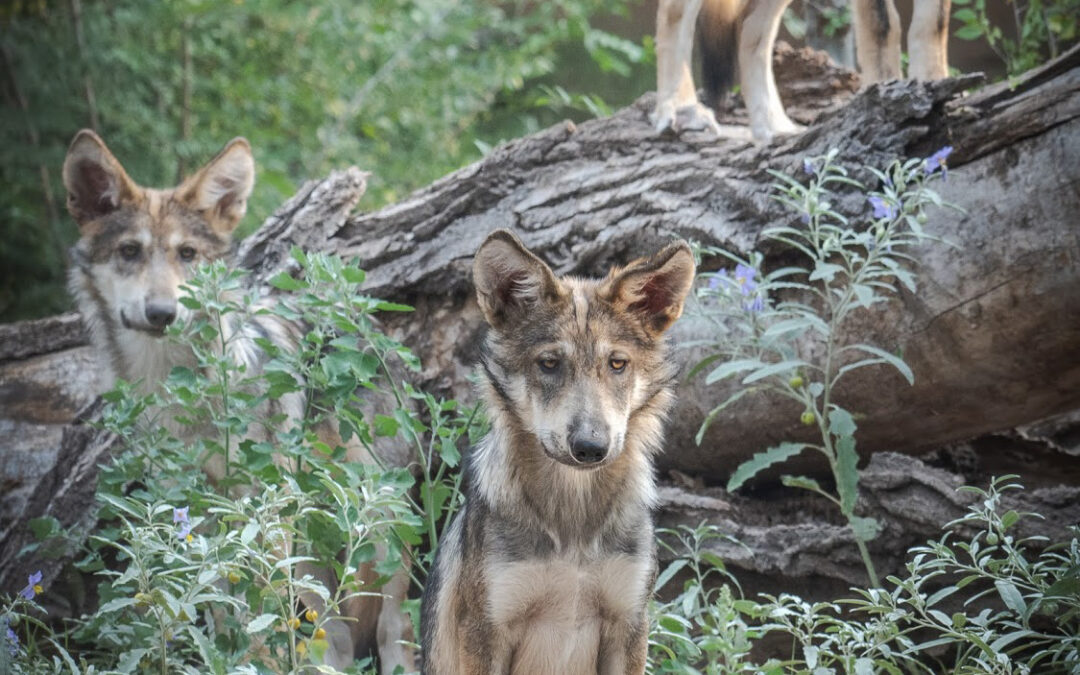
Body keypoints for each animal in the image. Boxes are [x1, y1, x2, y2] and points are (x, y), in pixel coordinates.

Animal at [62, 129, 414, 674]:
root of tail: (369, 324)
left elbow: (258, 612)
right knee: (332, 636)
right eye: (129, 251)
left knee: (394, 626)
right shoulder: (195, 513)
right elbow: (223, 608)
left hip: (374, 530)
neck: (174, 385)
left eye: (187, 253)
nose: (161, 312)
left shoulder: (263, 512)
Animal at [420, 230, 696, 674]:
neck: (573, 521)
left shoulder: (629, 626)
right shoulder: (485, 632)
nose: (590, 447)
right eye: (549, 363)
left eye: (617, 364)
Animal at [653, 0, 951, 141]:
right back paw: (683, 107)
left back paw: (773, 126)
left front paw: (935, 91)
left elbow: (932, 25)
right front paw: (889, 98)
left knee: (751, 31)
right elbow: (883, 26)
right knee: (673, 11)